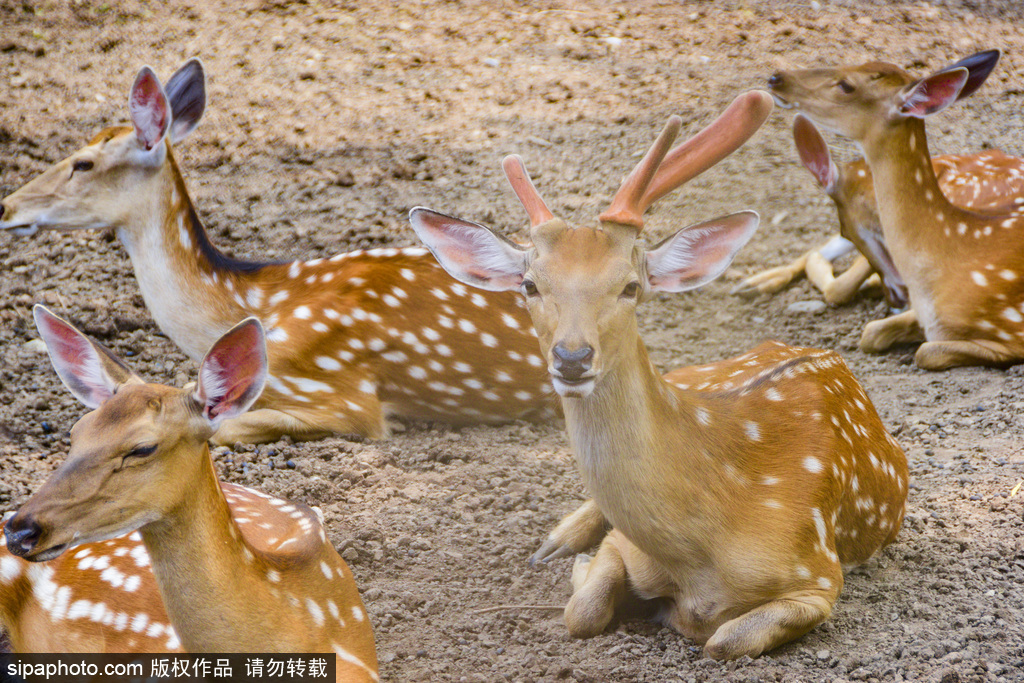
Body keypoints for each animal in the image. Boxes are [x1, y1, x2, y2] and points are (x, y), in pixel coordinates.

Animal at [405, 93, 905, 659]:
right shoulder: (625, 545)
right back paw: (556, 542)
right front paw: (582, 568)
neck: (701, 555)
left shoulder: (817, 575)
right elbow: (582, 612)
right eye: (529, 284)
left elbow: (723, 640)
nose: (572, 357)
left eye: (630, 286)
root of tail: (820, 351)